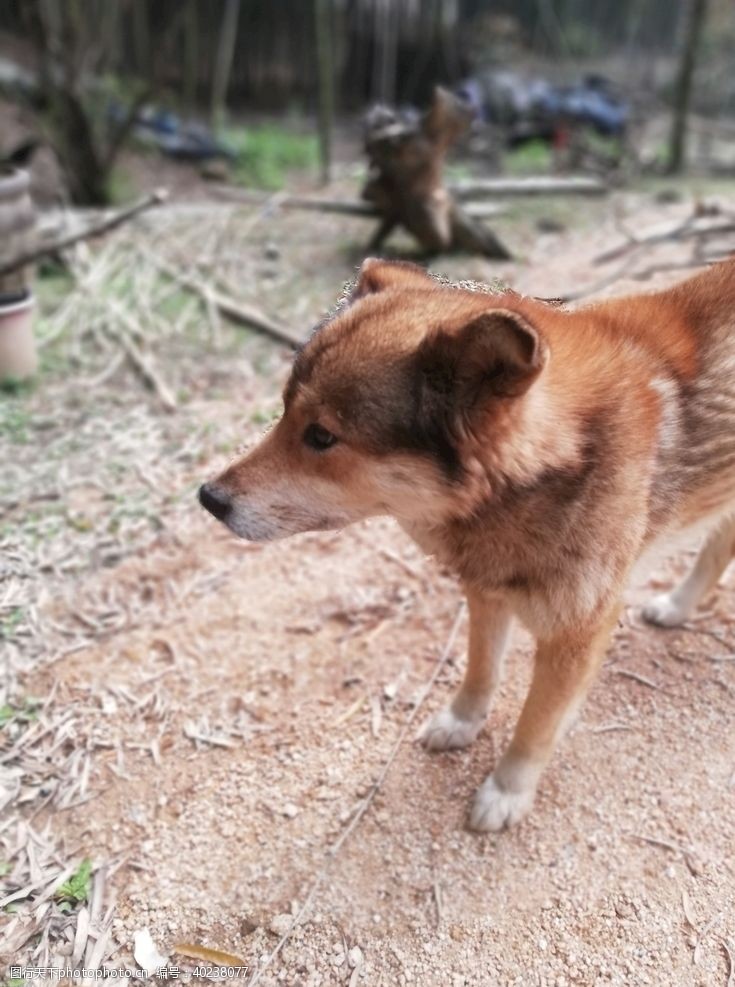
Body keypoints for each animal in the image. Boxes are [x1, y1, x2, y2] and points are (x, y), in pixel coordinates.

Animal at [198, 258, 735, 828]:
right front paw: (462, 722)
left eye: (321, 437)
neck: (560, 462)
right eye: (282, 412)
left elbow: (535, 723)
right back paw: (676, 607)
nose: (208, 497)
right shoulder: (485, 592)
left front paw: (506, 791)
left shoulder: (576, 632)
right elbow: (480, 671)